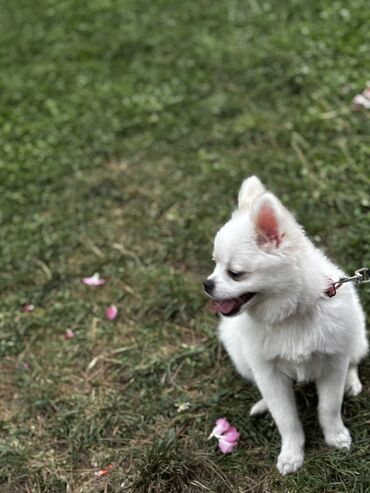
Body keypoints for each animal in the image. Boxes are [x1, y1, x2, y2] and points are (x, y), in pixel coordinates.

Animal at [204, 176, 368, 472]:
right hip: (240, 356)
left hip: (358, 336)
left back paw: (351, 382)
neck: (289, 314)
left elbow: (329, 406)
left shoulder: (333, 362)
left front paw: (335, 436)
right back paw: (262, 404)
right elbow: (286, 418)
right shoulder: (268, 372)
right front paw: (292, 454)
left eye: (235, 273)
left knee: (353, 360)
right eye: (214, 265)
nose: (206, 284)